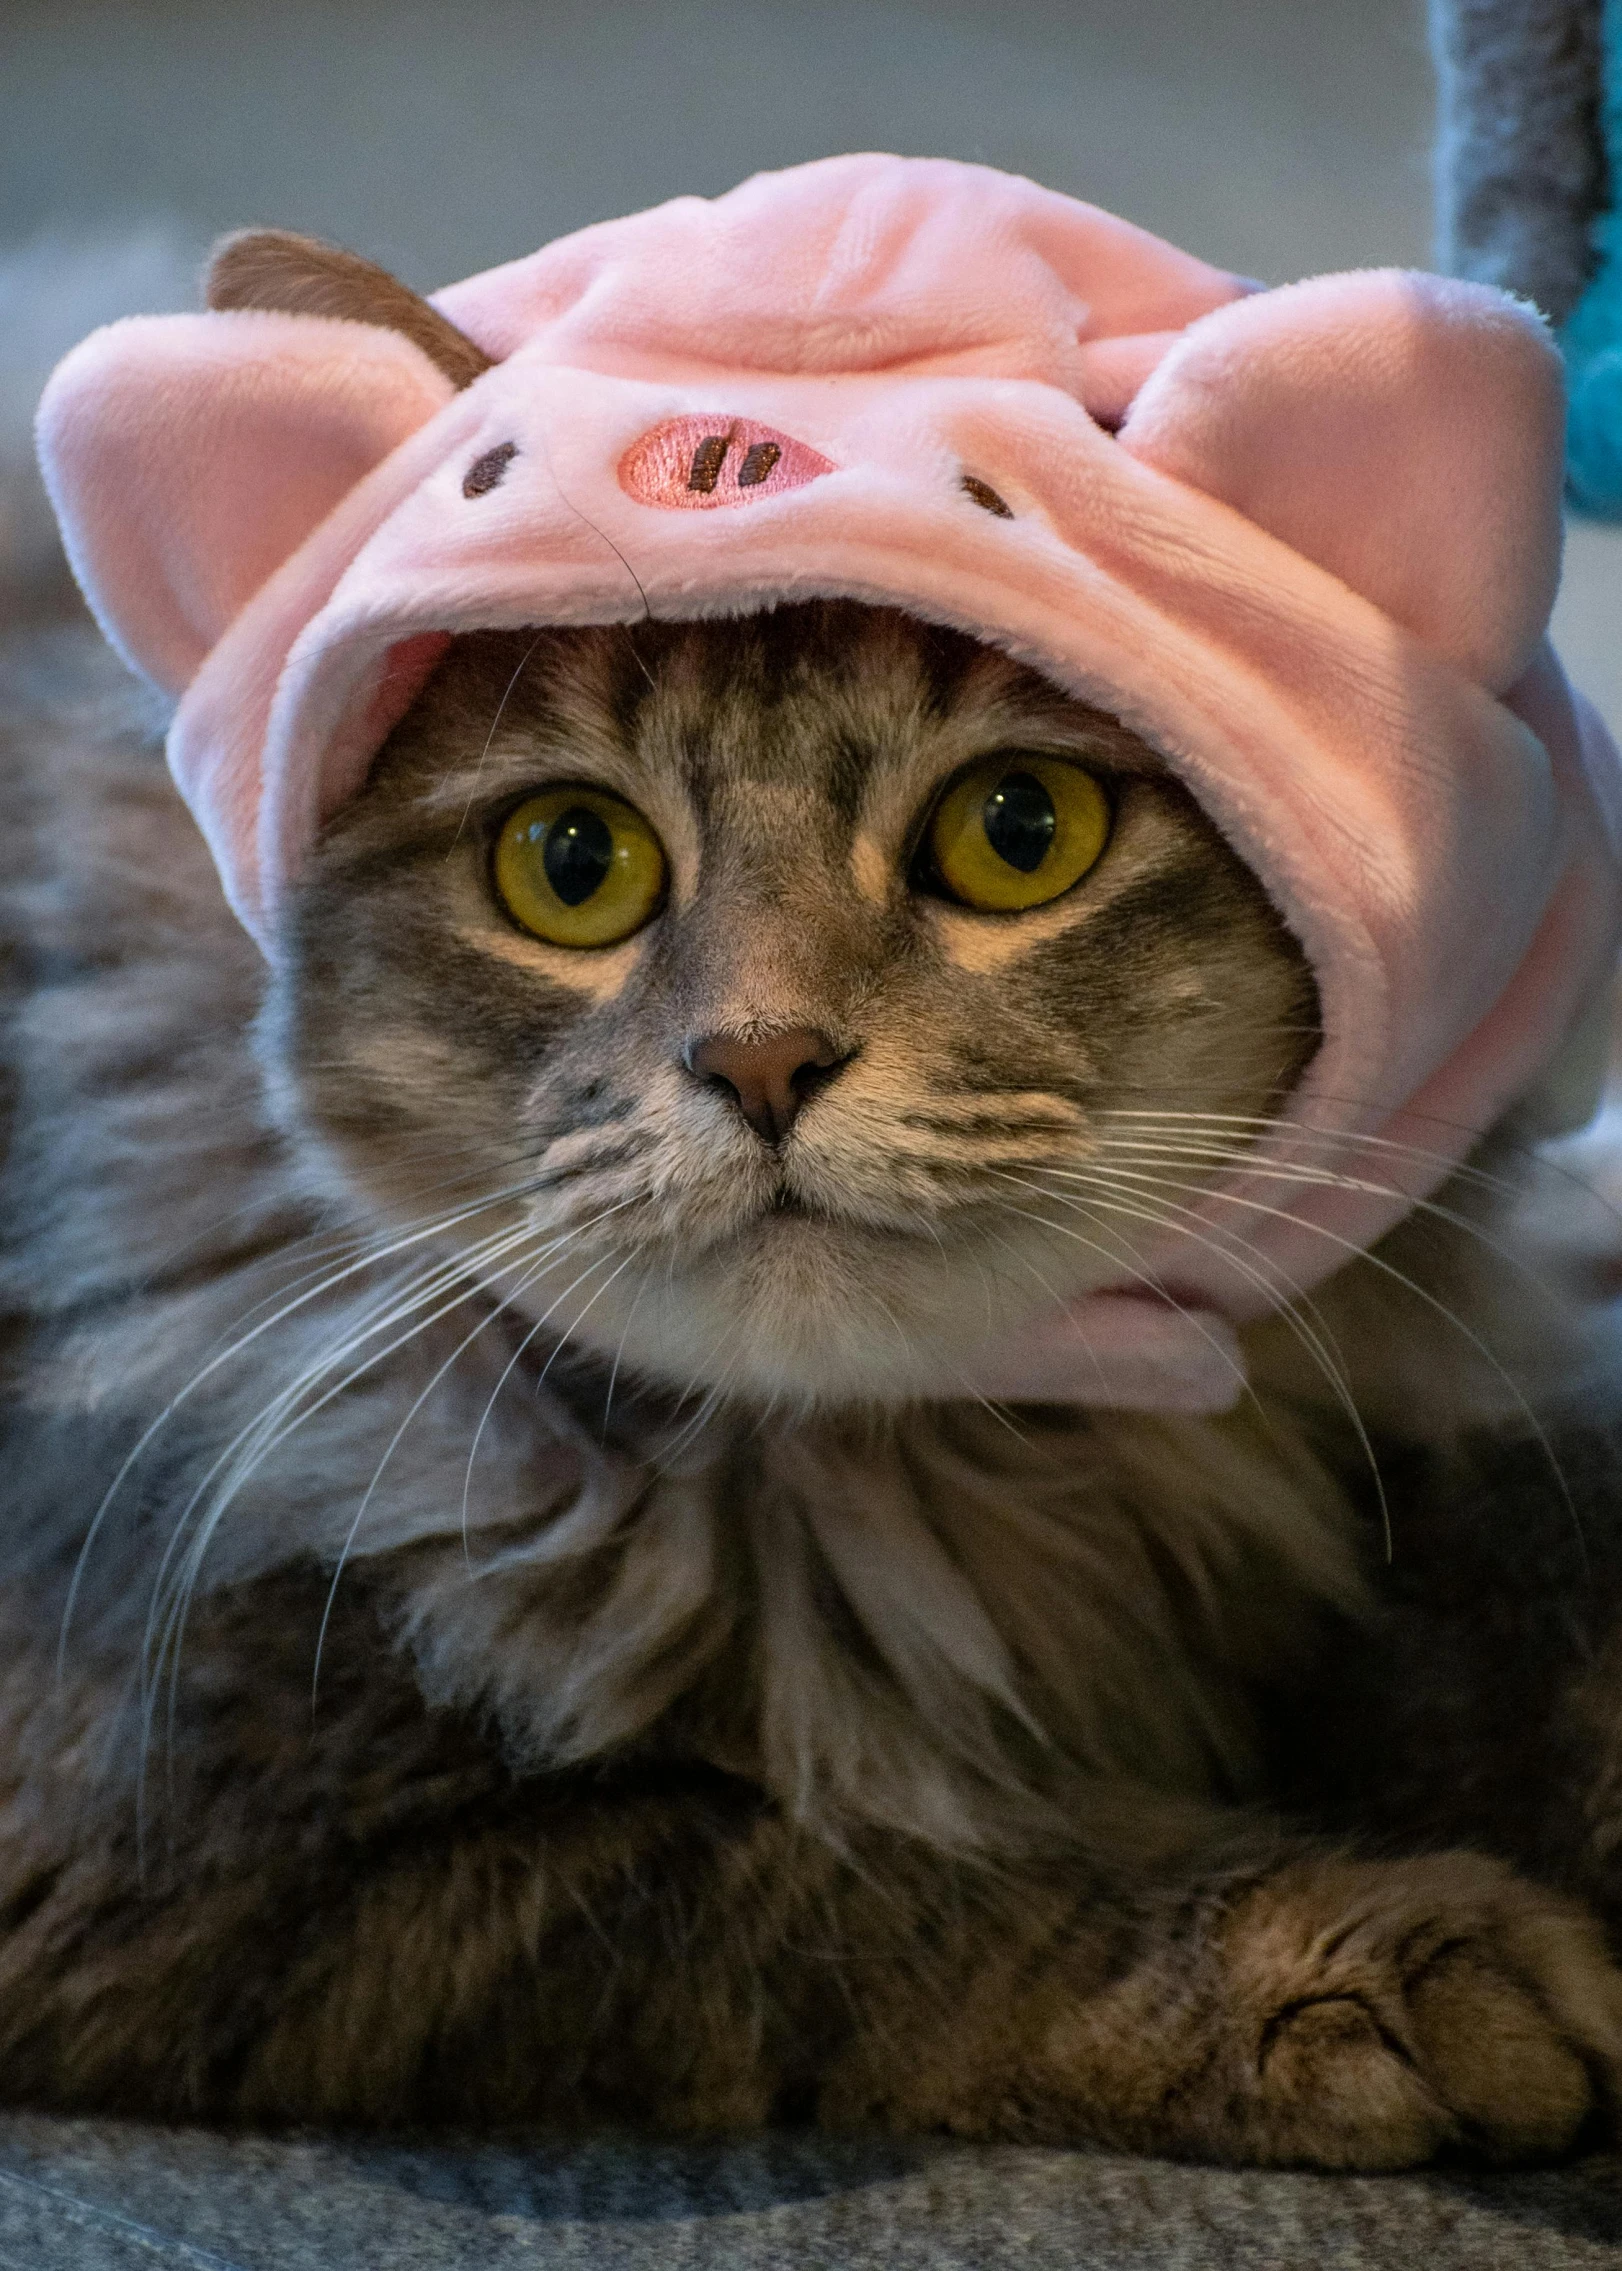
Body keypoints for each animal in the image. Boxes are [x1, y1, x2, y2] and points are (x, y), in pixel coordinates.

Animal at [9, 208, 1617, 2161]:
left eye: (1020, 832)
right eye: (570, 862)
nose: (762, 1061)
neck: (917, 1487)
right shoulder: (220, 1858)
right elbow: (884, 1876)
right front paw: (1390, 1959)